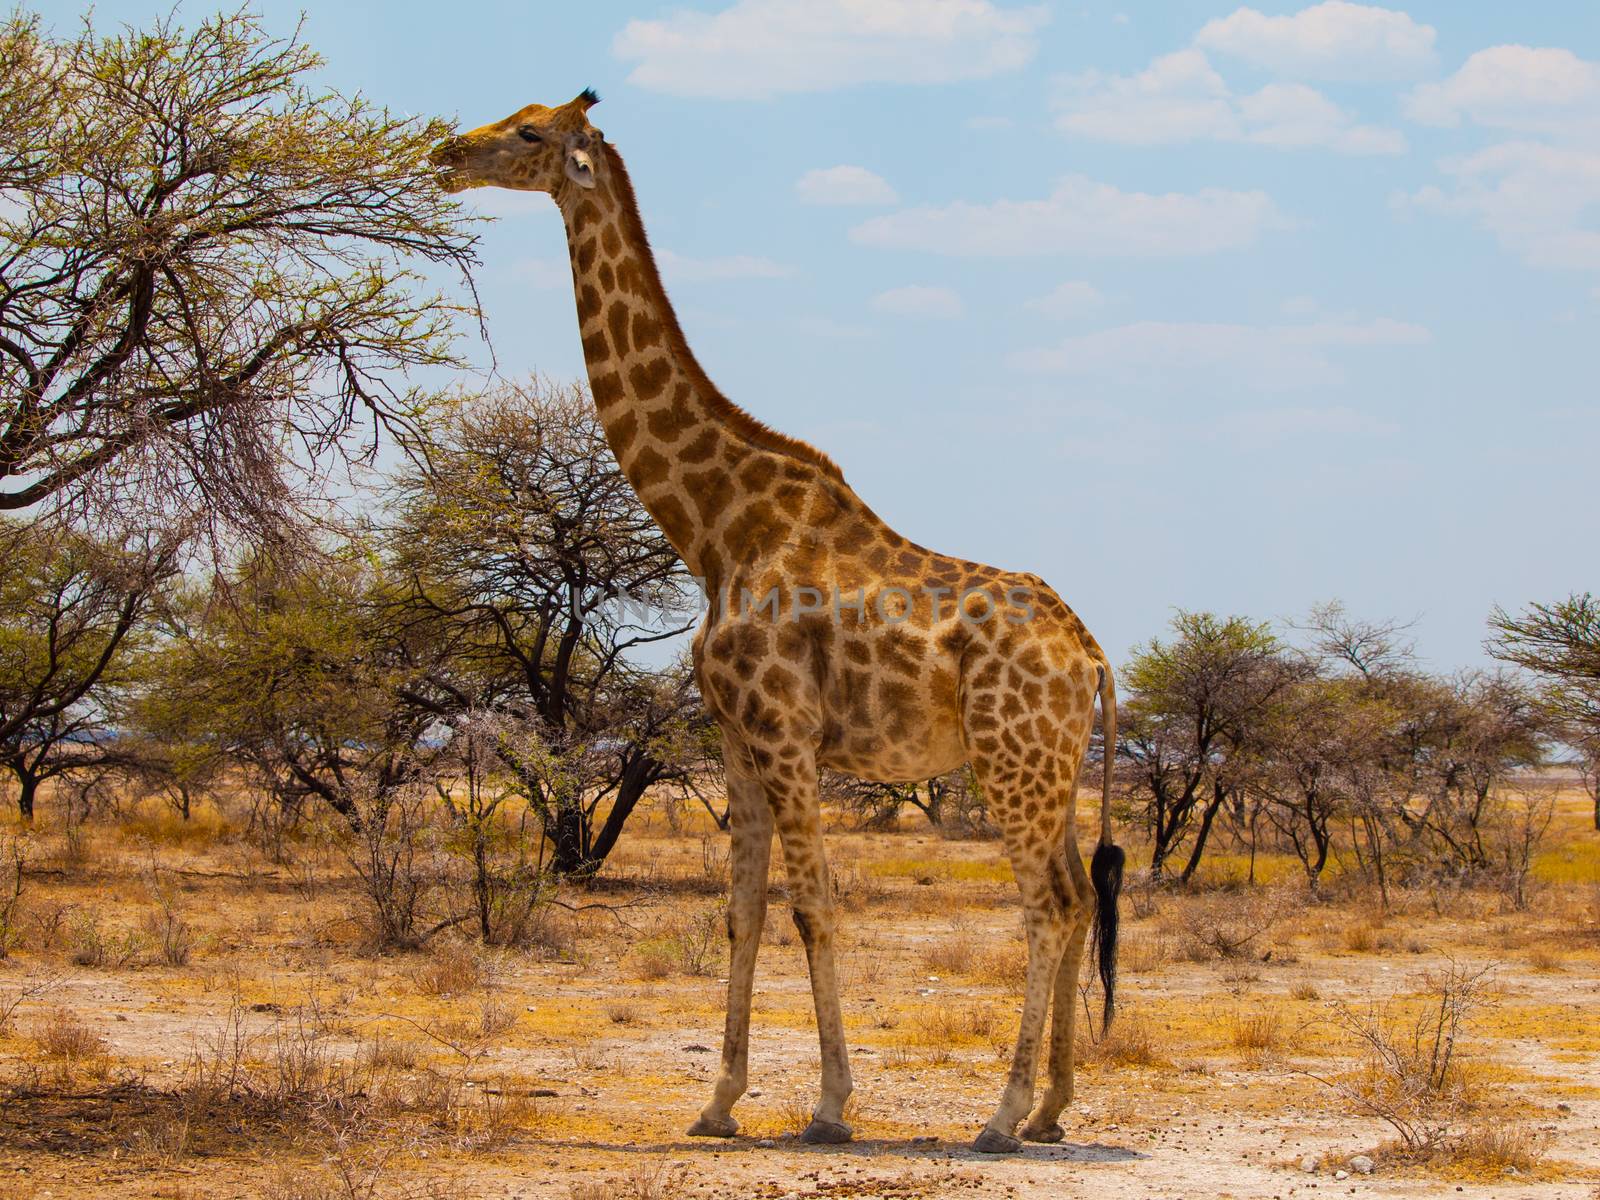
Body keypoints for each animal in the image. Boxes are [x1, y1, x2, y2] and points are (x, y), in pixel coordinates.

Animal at [428, 94, 1126, 1158]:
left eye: (530, 132)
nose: (445, 151)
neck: (714, 527)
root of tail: (1088, 651)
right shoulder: (736, 737)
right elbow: (743, 912)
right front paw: (718, 1100)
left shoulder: (786, 732)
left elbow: (814, 908)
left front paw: (830, 1106)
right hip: (1046, 769)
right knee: (1081, 896)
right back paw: (1050, 1108)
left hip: (1011, 763)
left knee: (1047, 906)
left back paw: (1001, 1117)